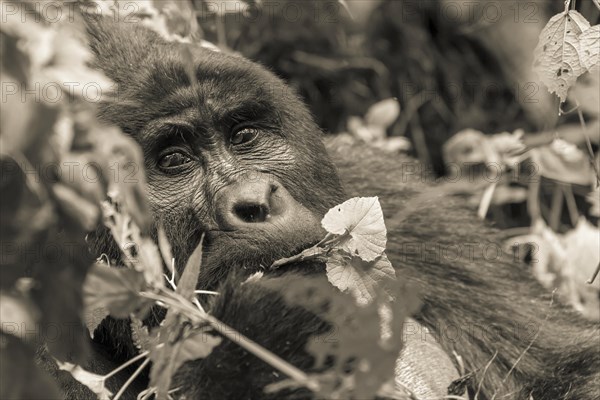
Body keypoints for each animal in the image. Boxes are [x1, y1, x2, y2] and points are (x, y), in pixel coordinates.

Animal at [49, 14, 596, 400]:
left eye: (243, 134)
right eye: (173, 161)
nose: (254, 203)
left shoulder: (396, 198)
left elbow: (570, 370)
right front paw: (269, 324)